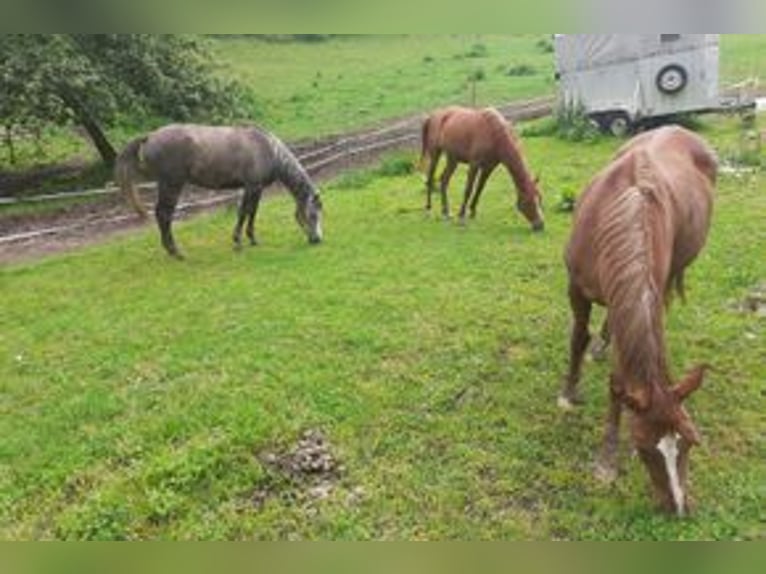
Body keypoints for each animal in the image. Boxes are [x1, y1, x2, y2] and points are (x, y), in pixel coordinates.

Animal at [117, 126, 324, 260]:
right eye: (313, 215)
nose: (317, 240)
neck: (268, 150)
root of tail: (149, 136)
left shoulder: (255, 189)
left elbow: (252, 213)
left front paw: (252, 239)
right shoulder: (252, 187)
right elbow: (244, 213)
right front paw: (238, 242)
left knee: (162, 215)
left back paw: (170, 250)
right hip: (171, 185)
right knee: (164, 215)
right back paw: (176, 252)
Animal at [560, 127, 716, 516]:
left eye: (690, 442)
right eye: (646, 449)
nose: (677, 508)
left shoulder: (647, 293)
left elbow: (620, 381)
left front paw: (607, 457)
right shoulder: (576, 288)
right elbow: (577, 337)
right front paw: (568, 394)